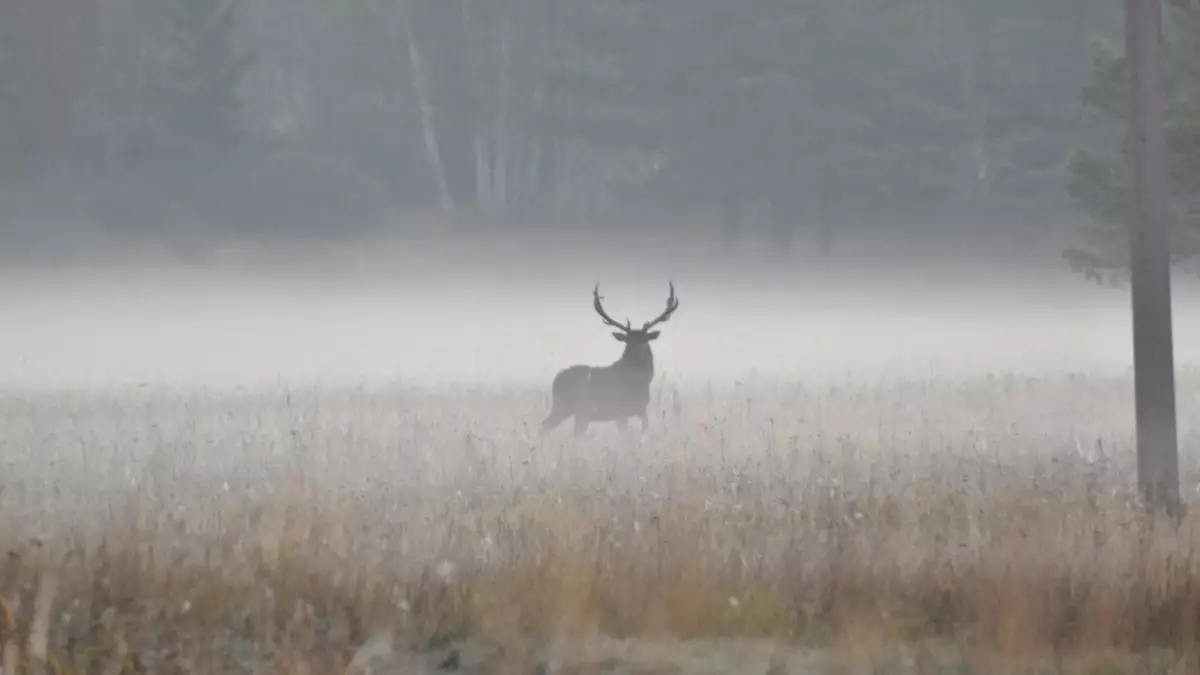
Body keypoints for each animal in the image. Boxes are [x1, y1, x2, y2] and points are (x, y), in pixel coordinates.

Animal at [542, 279, 681, 432]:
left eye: (645, 339)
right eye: (628, 341)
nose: (637, 351)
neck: (638, 383)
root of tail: (555, 380)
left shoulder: (641, 409)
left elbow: (643, 429)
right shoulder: (620, 410)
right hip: (566, 406)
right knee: (544, 426)